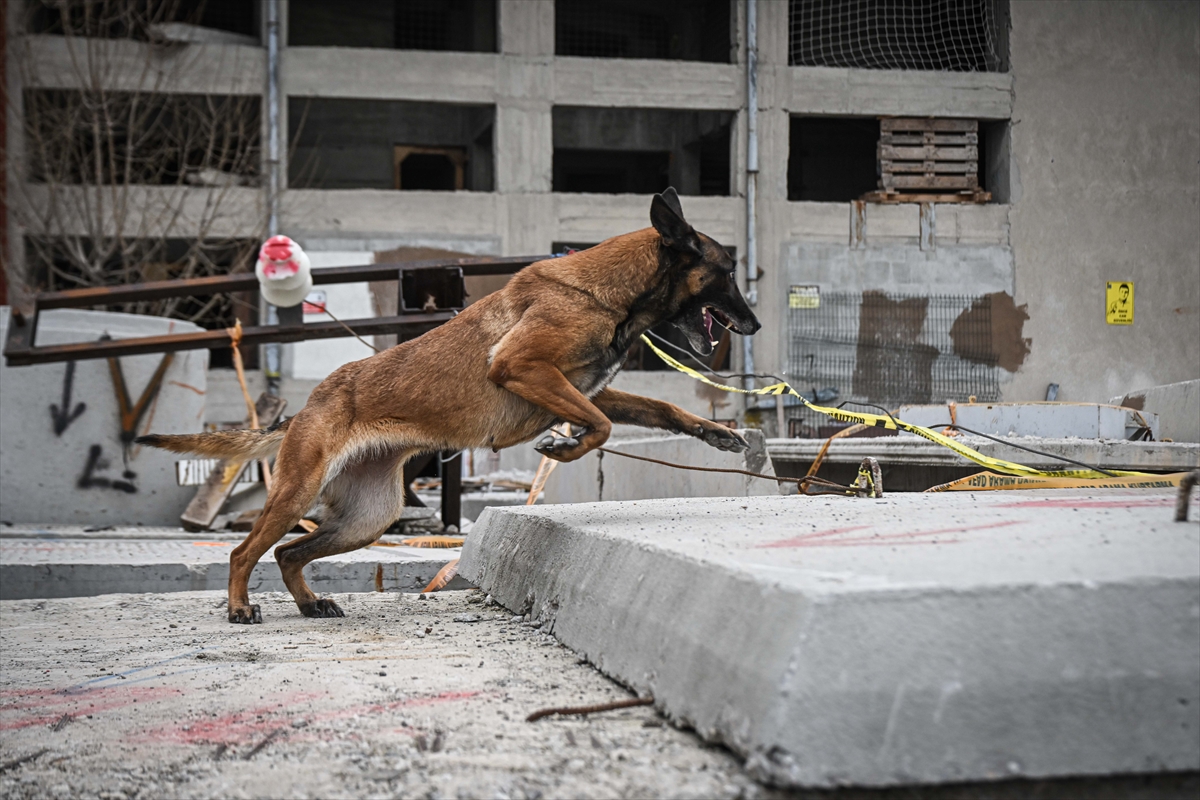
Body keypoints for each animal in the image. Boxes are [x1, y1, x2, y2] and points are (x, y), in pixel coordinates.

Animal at [138, 189, 758, 623]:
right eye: (728, 271)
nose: (753, 324)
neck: (606, 294)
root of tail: (310, 402)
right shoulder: (522, 367)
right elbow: (601, 426)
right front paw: (565, 445)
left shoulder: (586, 386)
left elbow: (654, 409)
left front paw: (713, 431)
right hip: (297, 491)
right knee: (244, 551)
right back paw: (240, 606)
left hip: (367, 518)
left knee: (290, 554)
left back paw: (311, 603)